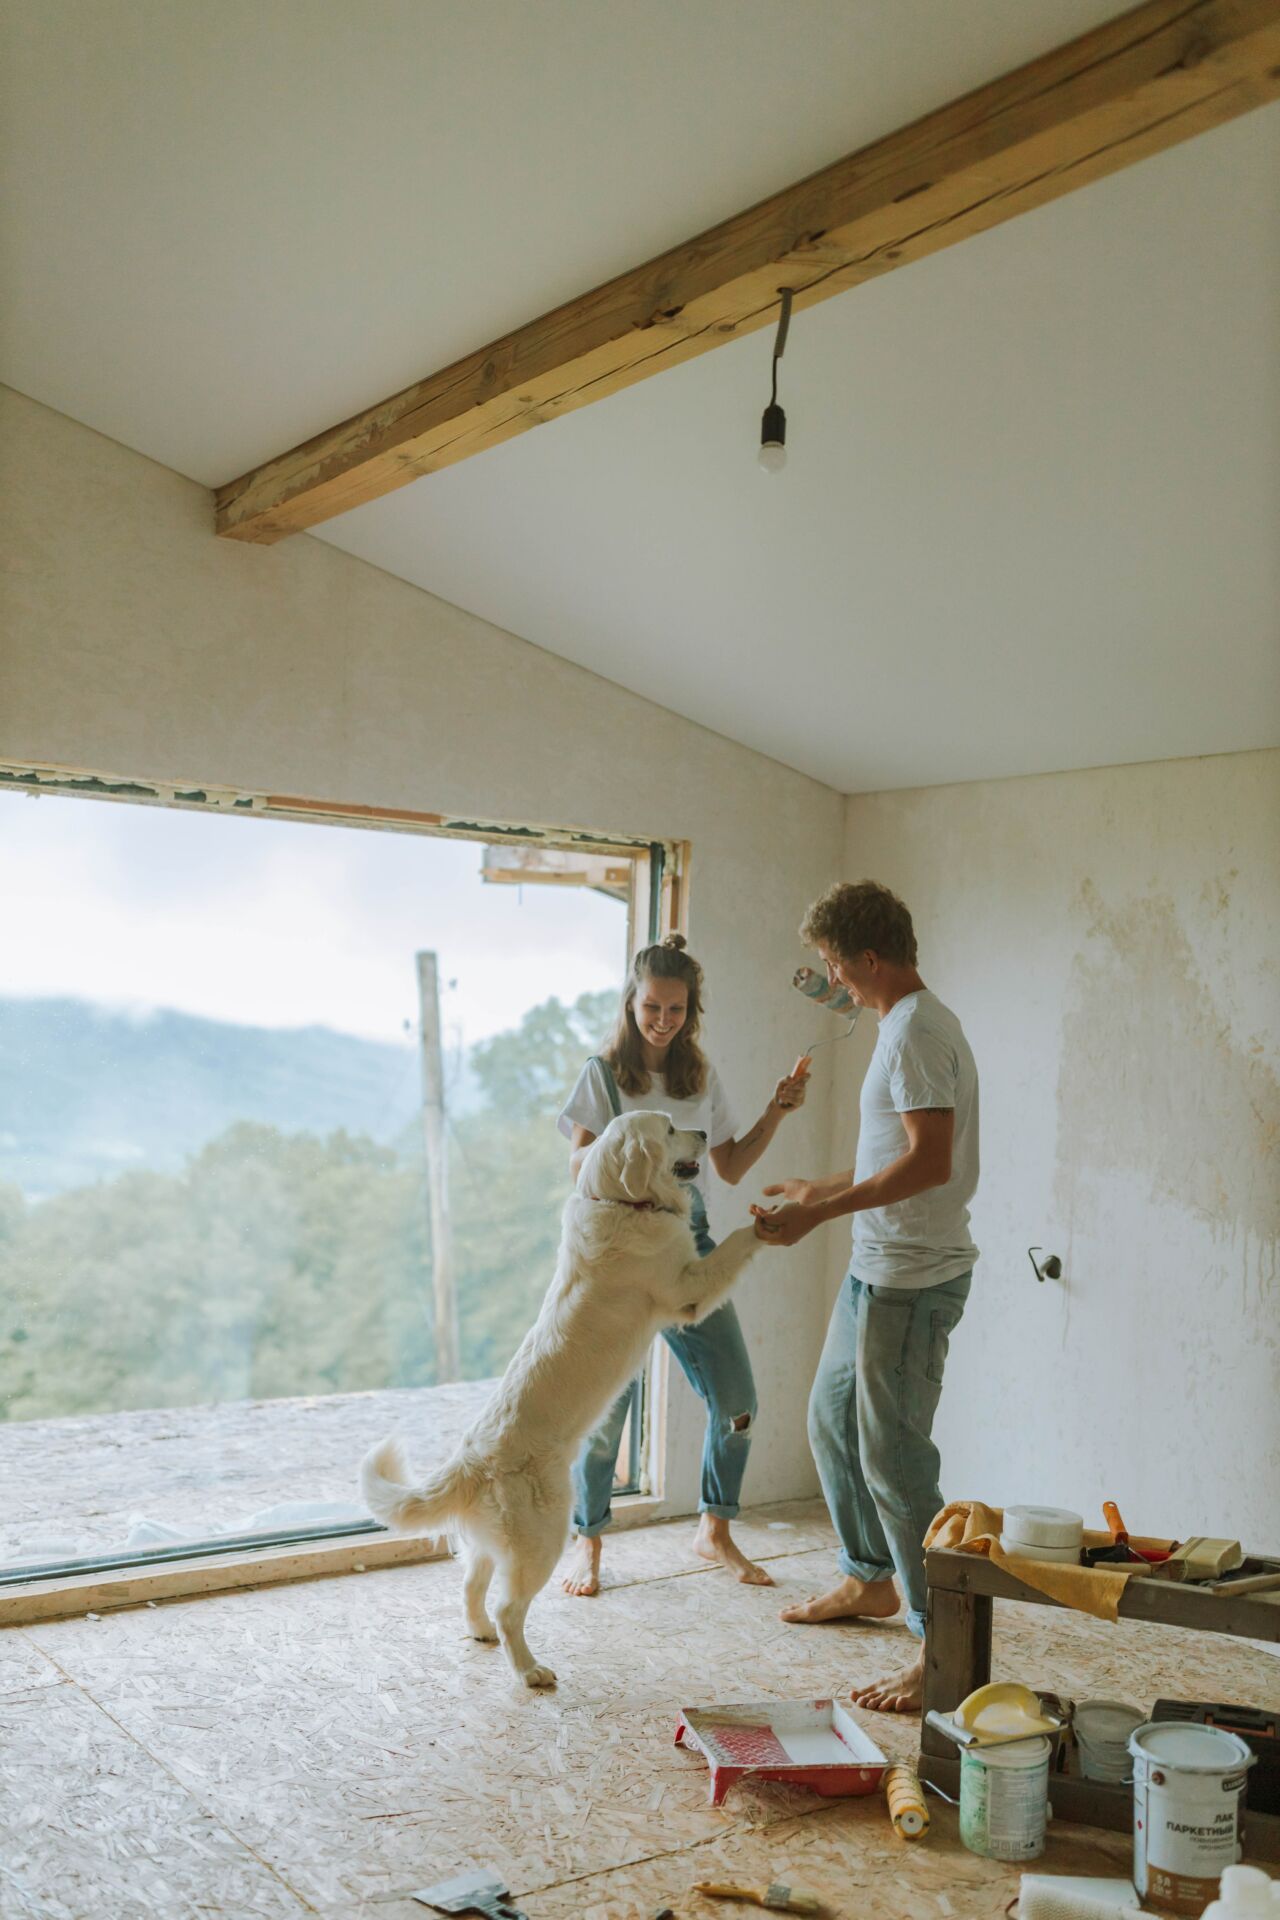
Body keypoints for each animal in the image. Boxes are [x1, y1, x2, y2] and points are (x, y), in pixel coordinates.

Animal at [360, 1113, 759, 1681]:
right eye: (667, 1127)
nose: (704, 1133)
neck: (619, 1201)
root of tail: (471, 1461)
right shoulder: (689, 1288)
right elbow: (736, 1247)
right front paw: (773, 1220)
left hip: (491, 1544)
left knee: (471, 1586)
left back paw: (479, 1632)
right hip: (544, 1537)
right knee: (509, 1608)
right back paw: (530, 1671)